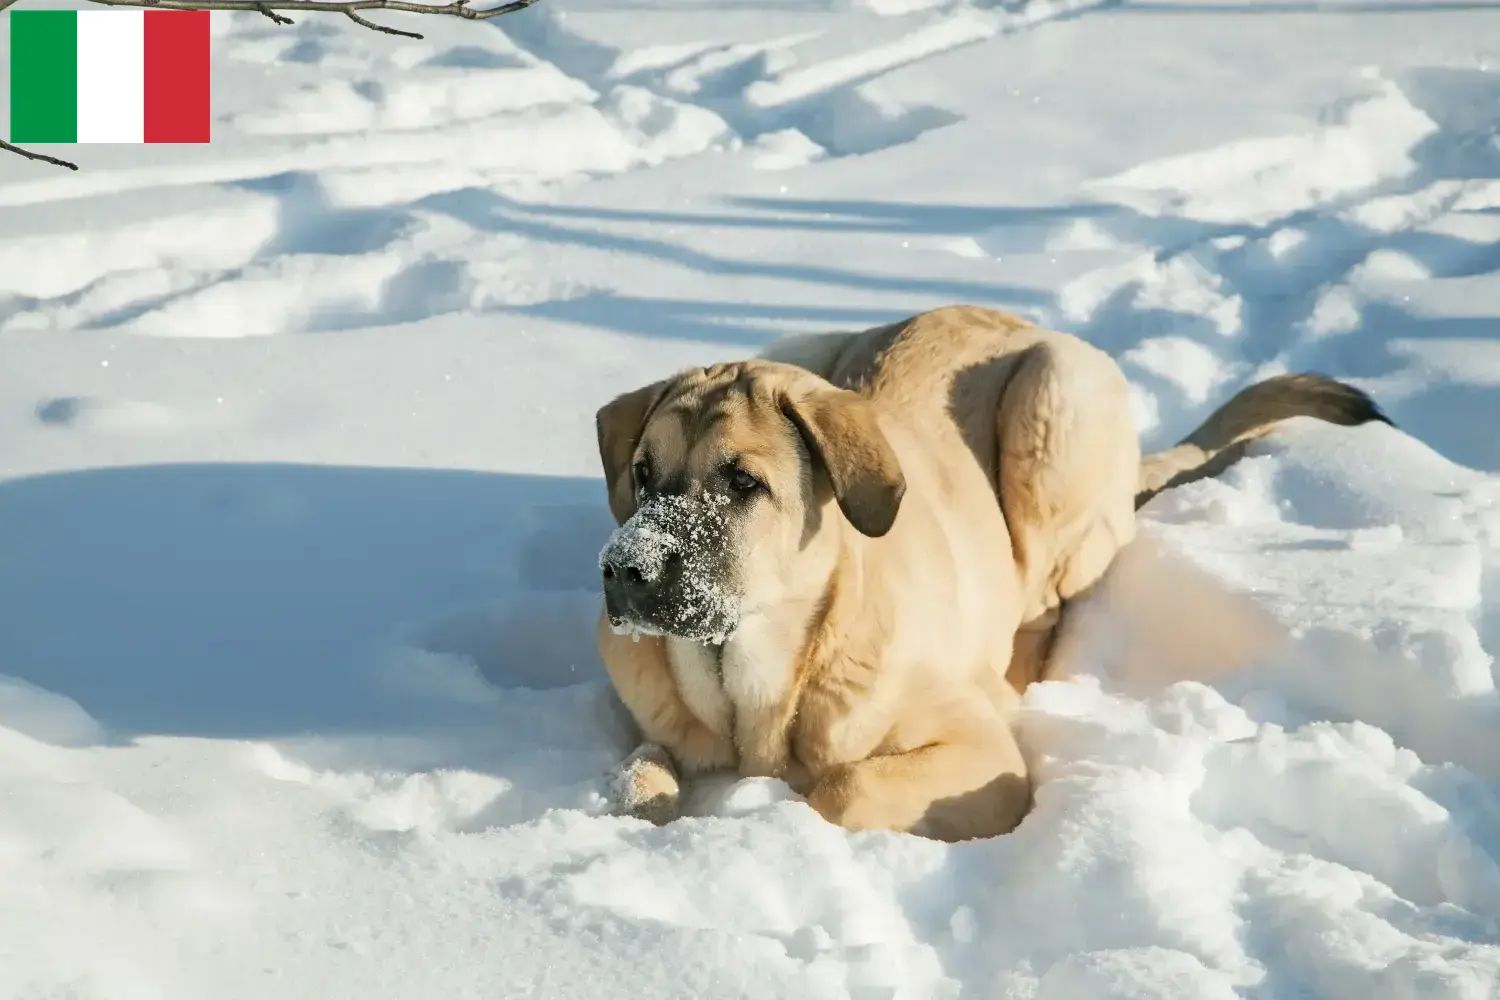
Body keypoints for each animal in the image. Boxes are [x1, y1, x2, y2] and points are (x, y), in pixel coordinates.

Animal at [585, 301, 1380, 839]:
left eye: (743, 483)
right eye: (642, 474)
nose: (624, 569)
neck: (758, 683)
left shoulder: (983, 758)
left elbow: (842, 791)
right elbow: (637, 778)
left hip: (1054, 407)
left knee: (1045, 604)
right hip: (807, 342)